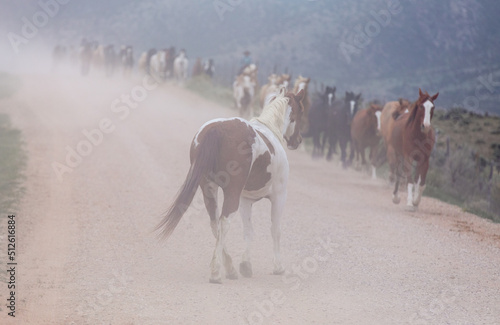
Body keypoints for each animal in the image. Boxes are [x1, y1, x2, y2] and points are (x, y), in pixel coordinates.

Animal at [156, 87, 304, 282]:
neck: (270, 130)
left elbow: (248, 231)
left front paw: (245, 265)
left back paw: (229, 268)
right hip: (231, 192)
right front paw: (278, 267)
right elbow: (275, 230)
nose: (298, 140)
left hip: (209, 188)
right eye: (301, 111)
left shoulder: (245, 200)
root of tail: (216, 129)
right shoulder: (279, 196)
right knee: (224, 221)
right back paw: (216, 272)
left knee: (215, 223)